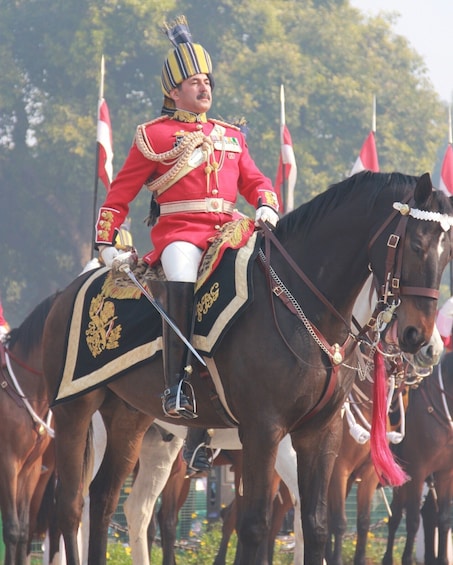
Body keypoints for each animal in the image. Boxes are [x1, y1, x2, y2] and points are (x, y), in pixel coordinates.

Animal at [382, 348, 453, 564]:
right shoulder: (417, 471)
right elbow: (412, 520)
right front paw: (407, 559)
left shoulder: (445, 473)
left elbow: (443, 518)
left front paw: (442, 559)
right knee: (399, 515)